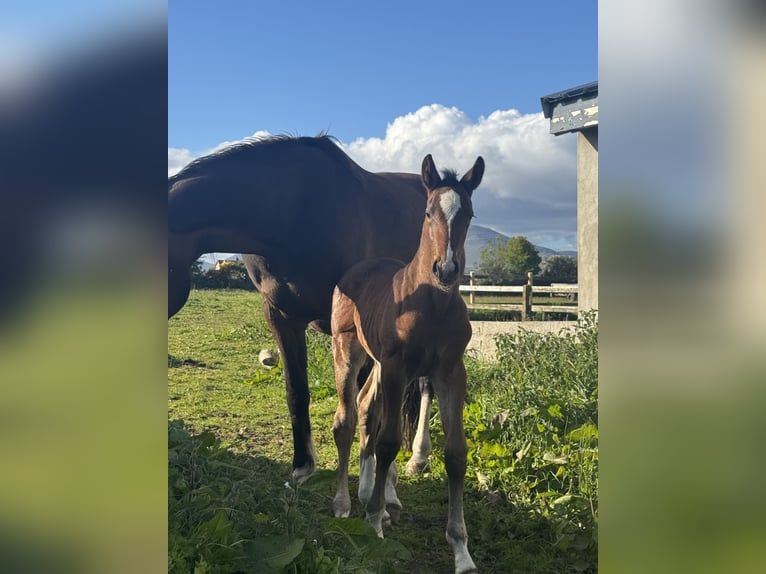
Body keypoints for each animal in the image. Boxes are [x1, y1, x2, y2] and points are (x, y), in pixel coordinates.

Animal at [168, 135, 434, 479]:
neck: (293, 215)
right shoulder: (282, 317)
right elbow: (297, 391)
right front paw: (302, 465)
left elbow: (365, 402)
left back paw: (419, 456)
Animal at [330, 154, 484, 574]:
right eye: (428, 212)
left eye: (469, 214)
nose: (445, 269)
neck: (434, 306)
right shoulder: (399, 367)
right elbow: (388, 441)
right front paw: (373, 524)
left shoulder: (451, 373)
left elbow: (456, 453)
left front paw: (462, 550)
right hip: (348, 351)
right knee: (346, 420)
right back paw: (346, 502)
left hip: (378, 364)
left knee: (367, 406)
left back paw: (374, 495)